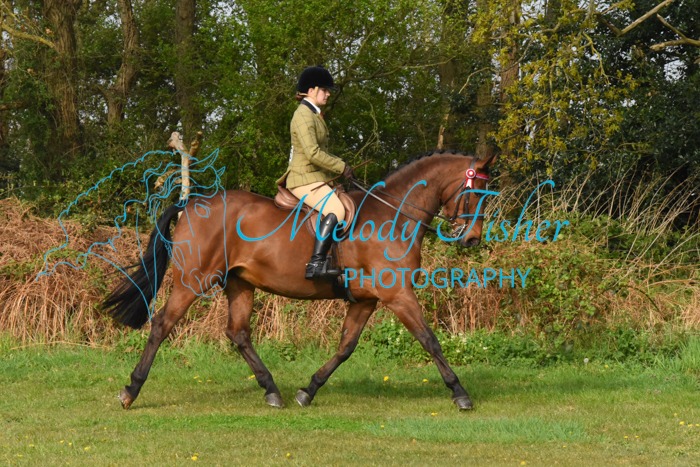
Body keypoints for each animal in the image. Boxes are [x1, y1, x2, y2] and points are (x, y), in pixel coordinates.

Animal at [104, 151, 496, 411]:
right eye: (476, 193)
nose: (472, 239)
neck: (393, 215)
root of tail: (191, 205)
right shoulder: (397, 294)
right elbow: (430, 340)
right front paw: (460, 393)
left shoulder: (366, 300)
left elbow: (345, 347)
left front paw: (309, 390)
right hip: (192, 281)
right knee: (162, 325)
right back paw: (130, 391)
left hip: (240, 284)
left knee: (238, 333)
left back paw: (272, 391)